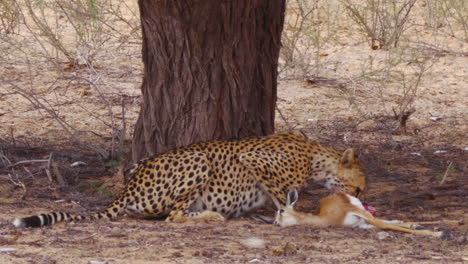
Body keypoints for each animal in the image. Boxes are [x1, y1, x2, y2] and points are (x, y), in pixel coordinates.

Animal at [12, 131, 368, 228]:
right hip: (198, 158)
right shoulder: (253, 159)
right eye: (359, 187)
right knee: (173, 216)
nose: (364, 199)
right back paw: (212, 215)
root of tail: (129, 185)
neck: (316, 157)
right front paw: (295, 214)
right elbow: (283, 196)